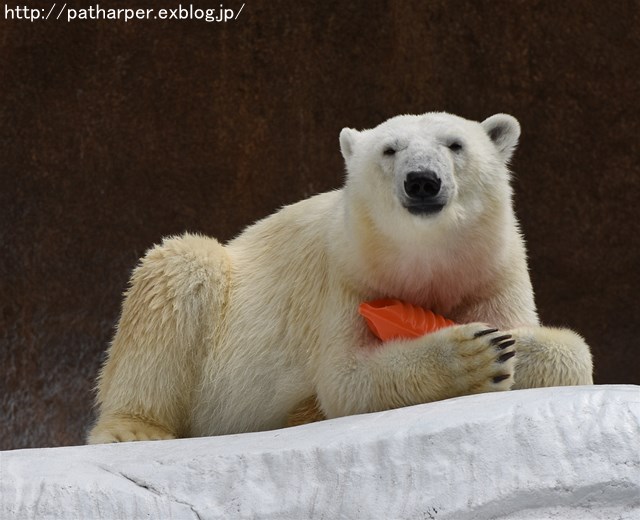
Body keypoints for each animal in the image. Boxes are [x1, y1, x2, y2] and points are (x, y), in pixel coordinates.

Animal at [87, 109, 592, 442]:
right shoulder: (349, 274)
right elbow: (347, 379)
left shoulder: (493, 269)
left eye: (455, 144)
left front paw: (509, 342)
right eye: (390, 149)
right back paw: (133, 429)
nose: (422, 180)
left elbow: (573, 355)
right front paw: (473, 352)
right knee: (181, 266)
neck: (425, 258)